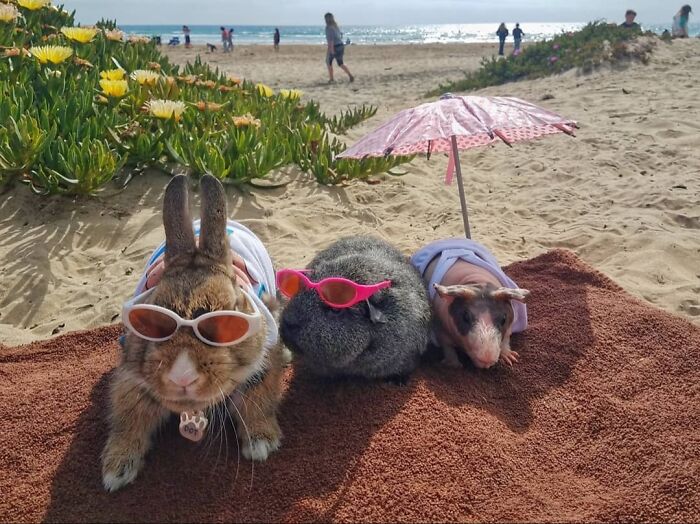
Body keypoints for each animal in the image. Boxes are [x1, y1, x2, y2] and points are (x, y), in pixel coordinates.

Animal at [101, 174, 285, 492]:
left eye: (228, 322)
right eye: (152, 319)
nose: (182, 376)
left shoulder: (263, 361)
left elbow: (257, 400)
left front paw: (261, 445)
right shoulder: (131, 377)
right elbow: (128, 415)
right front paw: (116, 471)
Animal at [411, 239, 529, 369]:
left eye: (504, 319)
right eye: (465, 317)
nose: (487, 358)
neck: (477, 283)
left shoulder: (509, 328)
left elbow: (506, 340)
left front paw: (511, 358)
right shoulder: (441, 330)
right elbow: (448, 347)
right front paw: (454, 365)